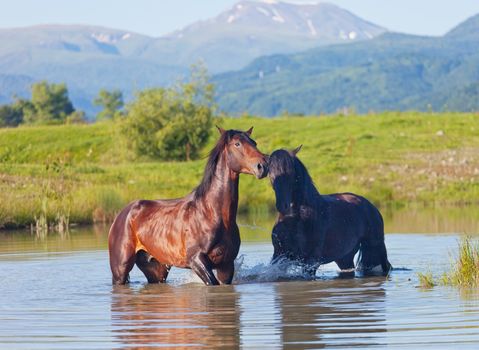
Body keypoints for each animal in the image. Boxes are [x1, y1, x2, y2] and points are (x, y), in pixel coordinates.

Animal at [107, 127, 270, 286]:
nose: (263, 166)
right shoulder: (196, 260)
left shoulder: (226, 265)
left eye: (254, 143)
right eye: (237, 144)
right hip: (120, 269)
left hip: (155, 268)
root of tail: (122, 214)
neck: (213, 213)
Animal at [268, 146, 392, 278]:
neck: (297, 218)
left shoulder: (311, 261)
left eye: (291, 173)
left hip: (375, 248)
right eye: (271, 173)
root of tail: (371, 206)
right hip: (344, 257)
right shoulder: (279, 255)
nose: (283, 205)